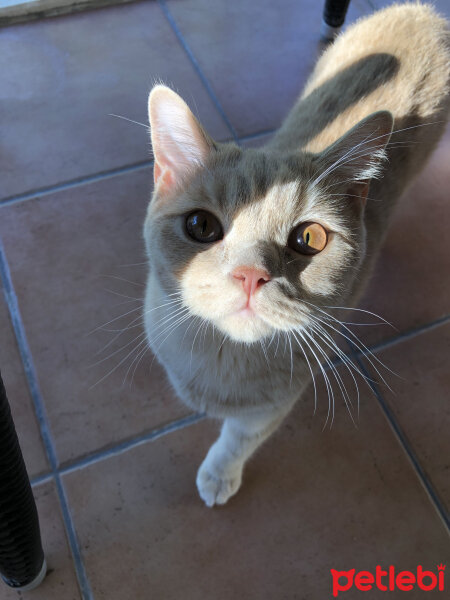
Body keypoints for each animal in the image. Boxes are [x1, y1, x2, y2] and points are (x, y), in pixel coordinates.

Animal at [142, 2, 448, 506]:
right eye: (201, 226)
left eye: (310, 239)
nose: (250, 274)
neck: (224, 358)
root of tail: (423, 12)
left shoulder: (274, 404)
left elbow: (238, 439)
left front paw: (220, 474)